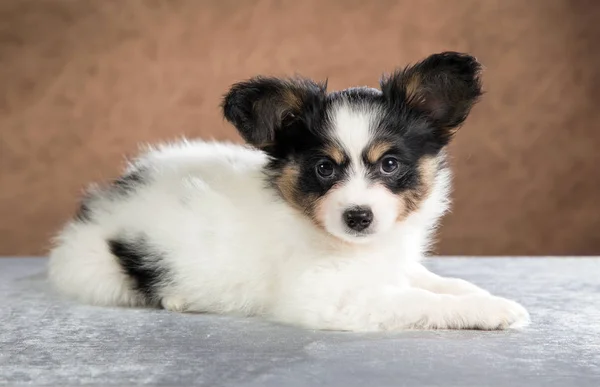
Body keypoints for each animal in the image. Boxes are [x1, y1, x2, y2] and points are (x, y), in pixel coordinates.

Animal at [48, 50, 528, 330]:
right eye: (323, 168)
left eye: (390, 165)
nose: (358, 217)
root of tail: (98, 204)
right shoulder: (326, 297)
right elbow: (415, 300)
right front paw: (493, 311)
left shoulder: (390, 264)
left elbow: (434, 281)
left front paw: (478, 294)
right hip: (101, 275)